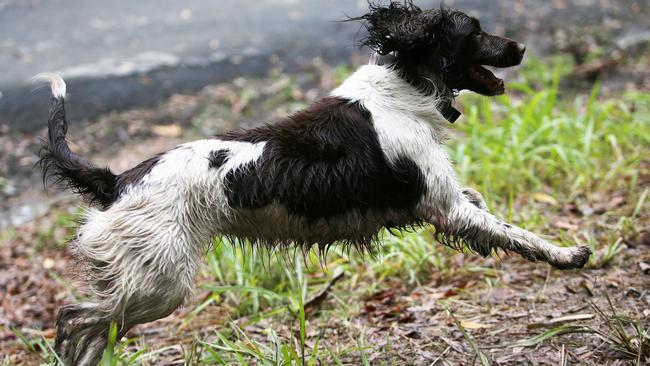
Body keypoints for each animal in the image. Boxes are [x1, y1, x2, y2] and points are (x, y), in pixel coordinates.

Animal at [36, 1, 588, 364]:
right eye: (473, 30)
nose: (521, 48)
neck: (405, 89)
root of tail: (115, 182)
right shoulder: (446, 207)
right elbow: (516, 233)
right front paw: (567, 254)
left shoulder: (449, 201)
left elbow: (488, 209)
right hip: (158, 284)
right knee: (73, 320)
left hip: (144, 286)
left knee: (92, 328)